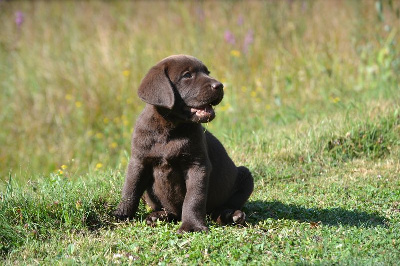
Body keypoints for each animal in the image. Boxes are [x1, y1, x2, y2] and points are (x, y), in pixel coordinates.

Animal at [114, 54, 253, 233]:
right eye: (187, 75)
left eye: (207, 72)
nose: (220, 85)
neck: (170, 129)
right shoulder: (139, 161)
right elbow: (130, 190)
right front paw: (121, 215)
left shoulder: (197, 165)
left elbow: (193, 198)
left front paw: (192, 225)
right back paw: (159, 216)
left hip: (245, 176)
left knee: (220, 207)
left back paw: (230, 215)